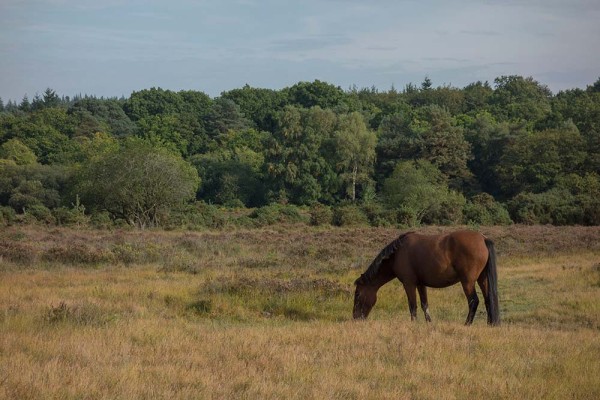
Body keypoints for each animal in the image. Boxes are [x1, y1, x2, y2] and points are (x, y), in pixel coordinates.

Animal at [354, 230, 500, 326]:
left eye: (357, 294)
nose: (355, 318)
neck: (397, 254)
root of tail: (483, 239)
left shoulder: (409, 284)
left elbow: (412, 305)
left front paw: (413, 324)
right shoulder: (421, 284)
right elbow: (424, 304)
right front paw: (429, 323)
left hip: (468, 282)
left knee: (474, 301)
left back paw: (467, 324)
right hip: (482, 279)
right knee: (488, 299)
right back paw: (490, 324)